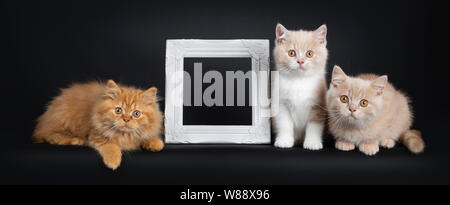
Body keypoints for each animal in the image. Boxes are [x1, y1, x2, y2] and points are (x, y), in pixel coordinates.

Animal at [33, 80, 163, 170]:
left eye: (136, 113)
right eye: (118, 110)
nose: (126, 119)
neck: (125, 135)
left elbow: (146, 137)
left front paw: (156, 143)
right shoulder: (96, 135)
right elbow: (111, 145)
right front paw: (113, 161)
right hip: (63, 119)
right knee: (49, 135)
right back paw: (76, 140)